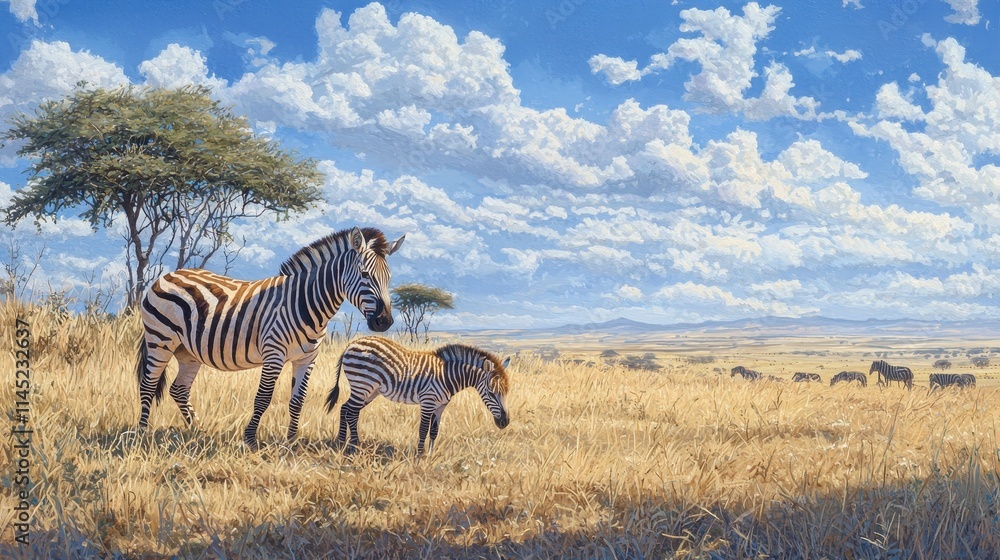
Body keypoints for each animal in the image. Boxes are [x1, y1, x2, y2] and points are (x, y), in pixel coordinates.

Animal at [136, 226, 405, 450]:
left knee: (179, 389)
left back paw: (198, 430)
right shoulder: (274, 353)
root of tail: (167, 275)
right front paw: (250, 439)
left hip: (188, 351)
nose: (384, 321)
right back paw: (142, 433)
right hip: (160, 339)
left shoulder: (307, 358)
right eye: (365, 275)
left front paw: (292, 440)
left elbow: (298, 400)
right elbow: (263, 398)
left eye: (389, 278)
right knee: (148, 385)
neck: (306, 302)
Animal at [325, 336, 511, 455]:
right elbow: (423, 429)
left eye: (506, 392)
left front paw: (430, 454)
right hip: (362, 385)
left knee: (345, 408)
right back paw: (353, 447)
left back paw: (342, 443)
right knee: (352, 413)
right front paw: (420, 455)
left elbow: (434, 431)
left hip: (370, 391)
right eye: (490, 393)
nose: (505, 422)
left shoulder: (441, 406)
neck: (447, 375)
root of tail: (352, 342)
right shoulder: (428, 401)